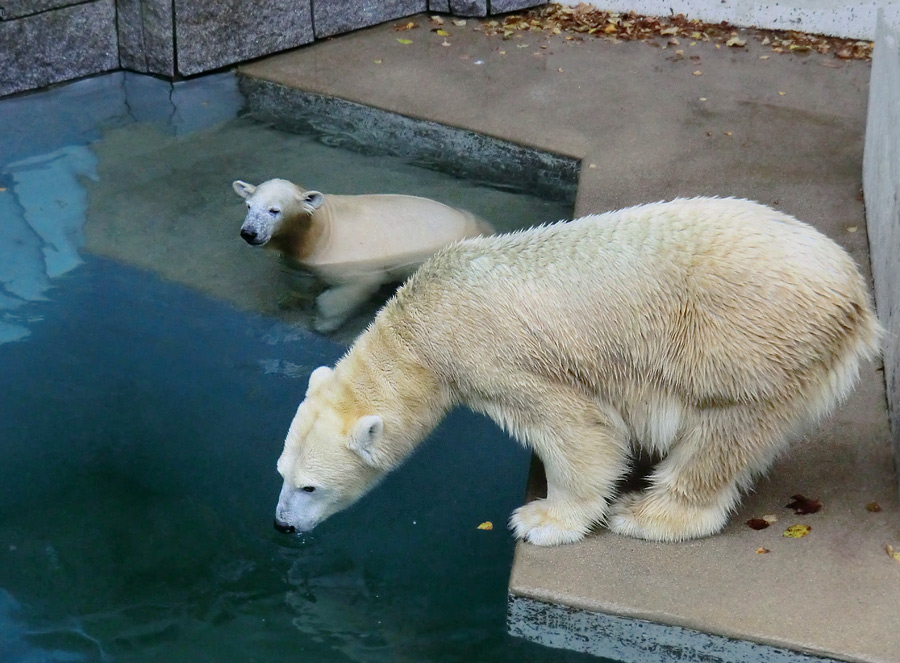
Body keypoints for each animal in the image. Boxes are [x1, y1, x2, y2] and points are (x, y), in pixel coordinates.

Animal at [232, 178, 492, 332]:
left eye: (274, 210)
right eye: (248, 206)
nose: (249, 233)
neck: (322, 230)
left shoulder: (350, 263)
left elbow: (344, 294)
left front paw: (321, 322)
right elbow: (299, 278)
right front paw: (289, 299)